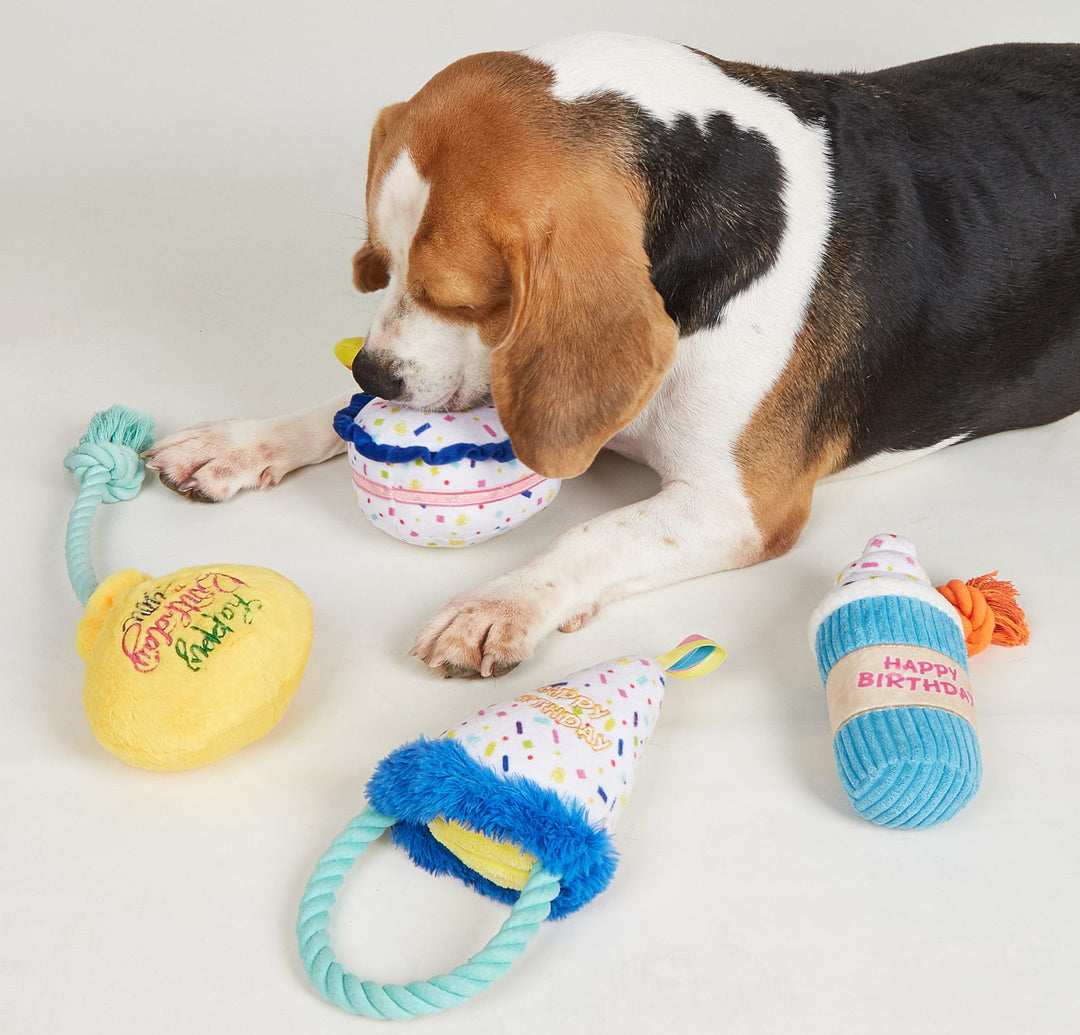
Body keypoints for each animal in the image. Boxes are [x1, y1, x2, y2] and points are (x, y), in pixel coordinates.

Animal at [145, 30, 1080, 682]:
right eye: (383, 259)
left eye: (467, 299)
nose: (372, 374)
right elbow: (329, 414)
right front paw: (244, 441)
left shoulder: (743, 505)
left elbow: (591, 533)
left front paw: (501, 601)